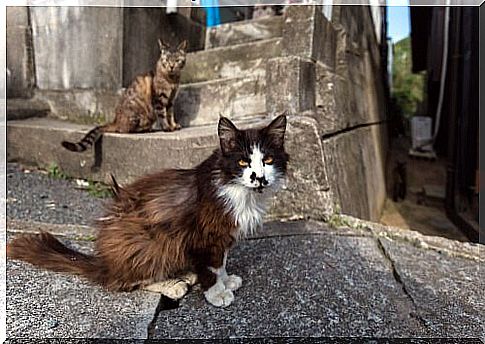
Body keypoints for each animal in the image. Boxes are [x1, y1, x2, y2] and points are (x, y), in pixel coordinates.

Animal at [8, 115, 288, 306]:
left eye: (268, 160)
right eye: (242, 161)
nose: (259, 178)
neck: (237, 188)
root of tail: (103, 264)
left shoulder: (223, 236)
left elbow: (221, 262)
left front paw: (226, 279)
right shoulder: (202, 235)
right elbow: (211, 267)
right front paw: (216, 293)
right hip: (147, 239)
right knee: (125, 281)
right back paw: (173, 284)